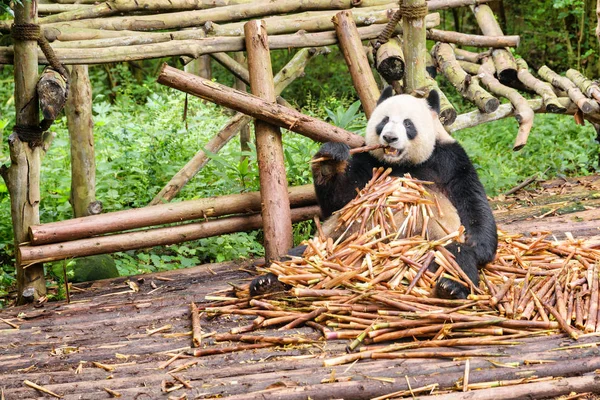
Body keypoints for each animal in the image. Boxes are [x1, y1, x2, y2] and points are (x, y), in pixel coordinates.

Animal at [248, 87, 496, 300]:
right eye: (384, 121)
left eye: (408, 123)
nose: (389, 138)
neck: (402, 163)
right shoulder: (369, 162)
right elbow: (339, 202)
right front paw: (330, 159)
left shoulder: (449, 160)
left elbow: (472, 202)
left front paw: (479, 247)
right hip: (334, 240)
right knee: (300, 254)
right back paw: (268, 282)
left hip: (433, 242)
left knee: (452, 257)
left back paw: (450, 286)